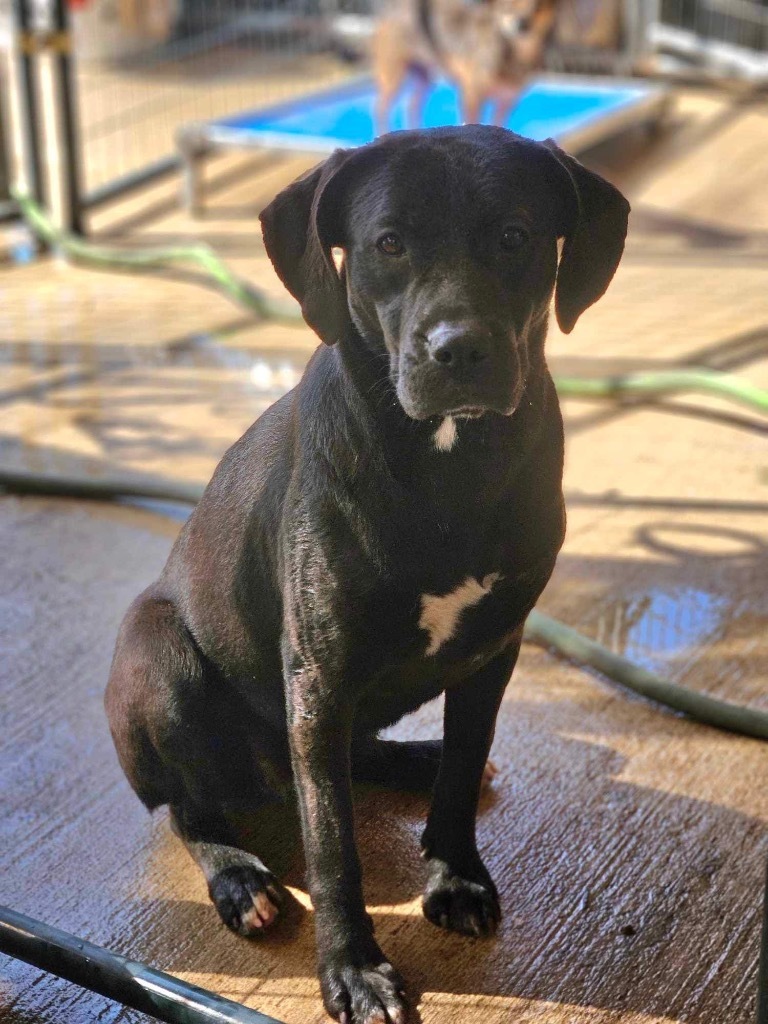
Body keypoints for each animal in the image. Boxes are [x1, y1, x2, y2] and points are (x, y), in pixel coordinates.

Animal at [103, 125, 630, 1024]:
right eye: (389, 244)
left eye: (515, 236)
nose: (459, 350)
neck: (447, 461)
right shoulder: (318, 673)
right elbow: (332, 845)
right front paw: (352, 969)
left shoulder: (493, 650)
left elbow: (463, 769)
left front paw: (454, 872)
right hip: (159, 656)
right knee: (186, 807)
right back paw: (239, 876)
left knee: (360, 757)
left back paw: (411, 759)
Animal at [372, 0, 561, 131]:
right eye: (506, 5)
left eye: (537, 7)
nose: (521, 24)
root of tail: (394, 10)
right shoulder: (472, 95)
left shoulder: (507, 100)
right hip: (395, 79)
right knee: (380, 108)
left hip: (425, 81)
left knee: (412, 106)